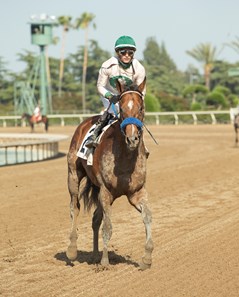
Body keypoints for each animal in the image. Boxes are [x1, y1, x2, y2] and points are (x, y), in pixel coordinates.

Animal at [66, 77, 154, 270]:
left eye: (141, 108)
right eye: (121, 108)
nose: (132, 138)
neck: (126, 157)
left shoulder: (137, 192)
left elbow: (147, 217)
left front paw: (147, 258)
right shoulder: (106, 192)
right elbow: (107, 226)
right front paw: (105, 262)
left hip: (97, 188)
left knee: (95, 219)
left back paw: (94, 255)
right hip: (73, 175)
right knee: (74, 208)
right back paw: (72, 250)